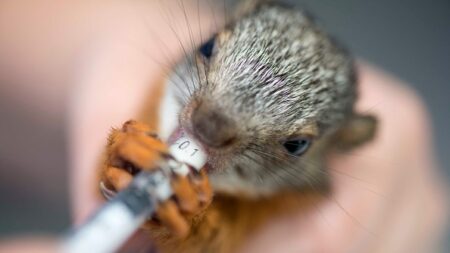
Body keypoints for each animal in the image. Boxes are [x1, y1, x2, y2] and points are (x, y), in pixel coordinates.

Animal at [98, 0, 376, 252]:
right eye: (207, 46)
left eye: (298, 145)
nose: (208, 126)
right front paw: (127, 147)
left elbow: (212, 242)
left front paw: (187, 201)